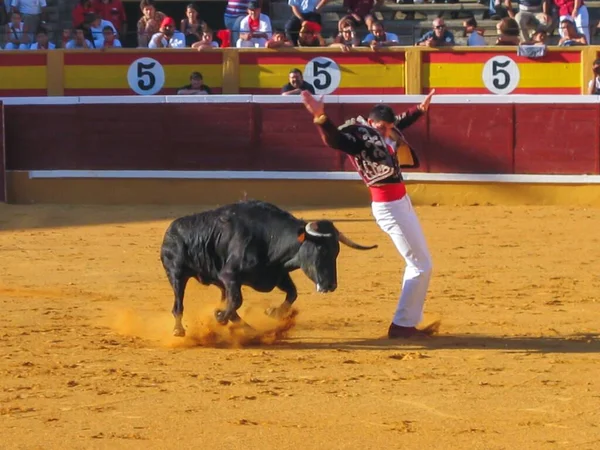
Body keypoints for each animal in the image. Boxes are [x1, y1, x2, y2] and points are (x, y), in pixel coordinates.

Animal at [159, 201, 376, 338]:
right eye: (321, 249)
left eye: (336, 251)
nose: (330, 285)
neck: (269, 238)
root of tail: (170, 229)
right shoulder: (230, 275)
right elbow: (237, 300)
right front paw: (219, 317)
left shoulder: (277, 275)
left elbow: (292, 293)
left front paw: (273, 312)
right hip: (177, 274)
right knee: (178, 304)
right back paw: (179, 330)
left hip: (217, 282)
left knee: (226, 301)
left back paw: (248, 328)